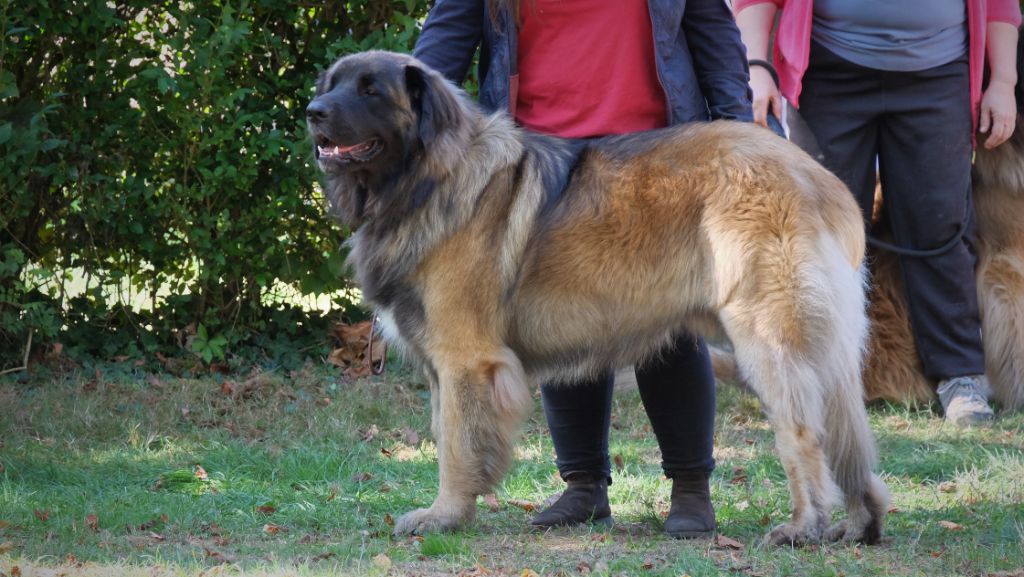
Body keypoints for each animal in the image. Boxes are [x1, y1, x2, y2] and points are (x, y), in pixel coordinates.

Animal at [309, 50, 888, 545]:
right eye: (331, 84)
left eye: (371, 91)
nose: (313, 113)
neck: (427, 179)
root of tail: (818, 178)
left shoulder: (466, 361)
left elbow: (454, 444)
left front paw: (444, 516)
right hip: (823, 347)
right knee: (849, 433)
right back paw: (861, 523)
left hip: (769, 339)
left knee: (803, 434)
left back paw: (804, 526)